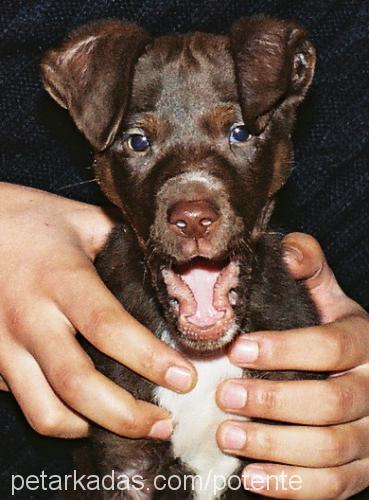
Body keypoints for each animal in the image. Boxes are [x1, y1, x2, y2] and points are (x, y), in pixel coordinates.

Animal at [41, 16, 322, 500]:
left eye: (240, 133)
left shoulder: (283, 447)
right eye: (138, 141)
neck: (205, 358)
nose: (193, 219)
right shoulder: (124, 455)